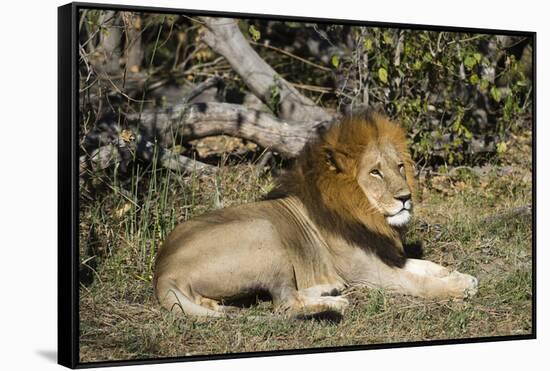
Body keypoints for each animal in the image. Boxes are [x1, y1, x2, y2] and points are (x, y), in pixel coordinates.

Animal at [154, 112, 478, 318]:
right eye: (375, 172)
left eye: (399, 167)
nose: (406, 198)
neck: (367, 215)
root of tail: (162, 271)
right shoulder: (369, 272)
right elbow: (417, 282)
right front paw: (457, 288)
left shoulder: (384, 254)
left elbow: (426, 266)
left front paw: (459, 275)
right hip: (265, 231)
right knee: (285, 304)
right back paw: (337, 304)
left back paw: (330, 289)